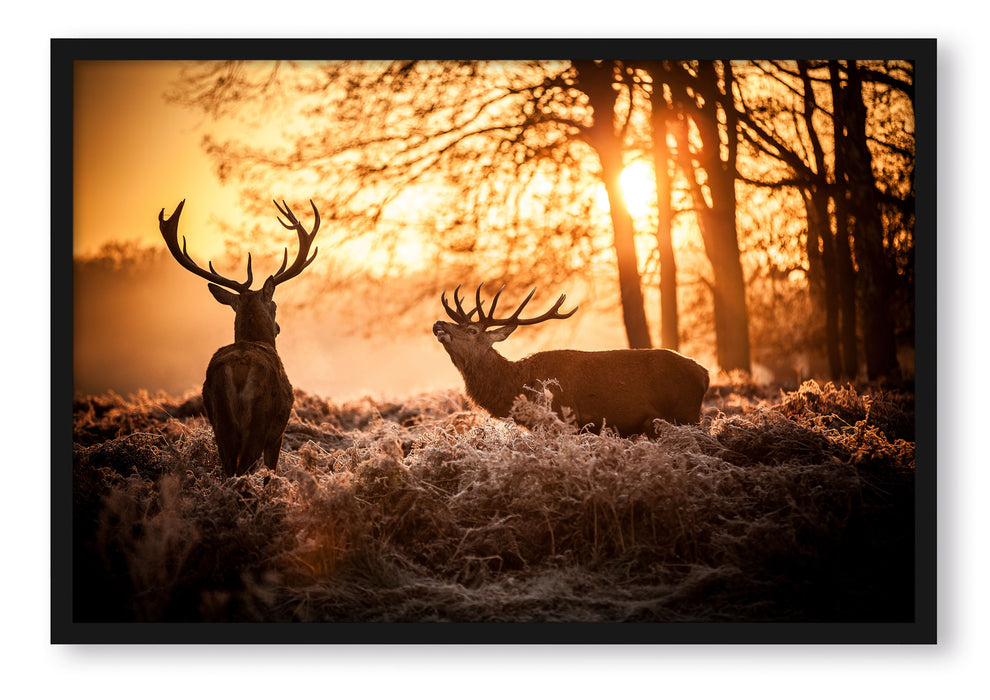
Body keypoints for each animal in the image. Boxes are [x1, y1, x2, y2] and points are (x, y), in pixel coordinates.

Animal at [160, 200, 322, 478]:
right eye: (275, 305)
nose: (278, 327)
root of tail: (237, 370)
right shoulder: (277, 433)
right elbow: (270, 473)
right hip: (259, 420)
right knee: (243, 470)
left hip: (219, 420)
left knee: (229, 469)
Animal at [436, 284, 712, 438]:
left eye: (472, 330)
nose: (439, 323)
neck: (519, 385)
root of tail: (704, 374)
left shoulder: (562, 420)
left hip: (685, 414)